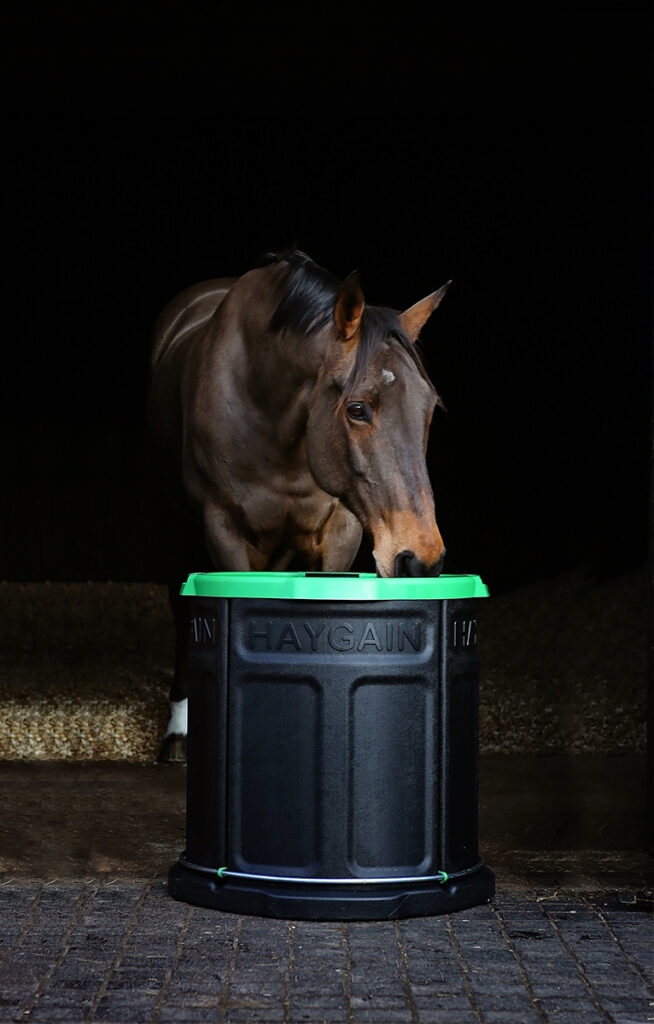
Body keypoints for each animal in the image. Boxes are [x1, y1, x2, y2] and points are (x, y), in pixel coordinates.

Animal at [148, 249, 450, 762]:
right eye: (357, 408)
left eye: (430, 408)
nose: (421, 558)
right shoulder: (224, 532)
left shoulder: (341, 530)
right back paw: (180, 727)